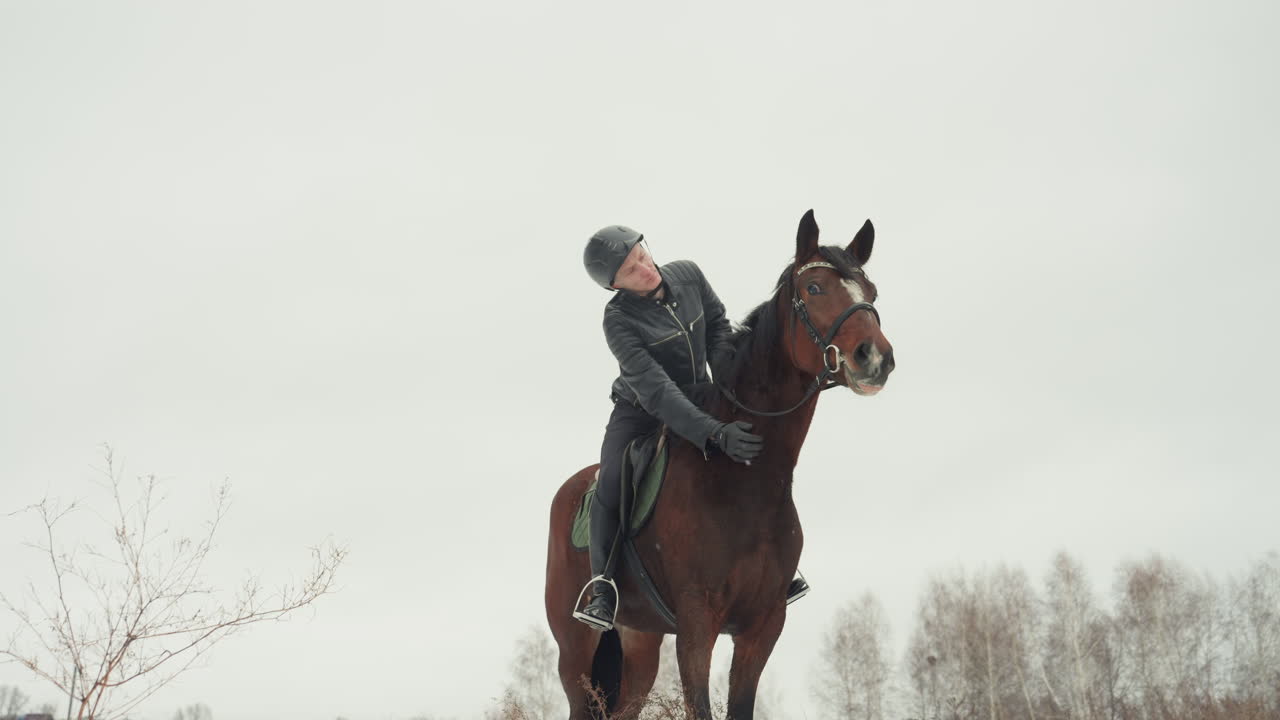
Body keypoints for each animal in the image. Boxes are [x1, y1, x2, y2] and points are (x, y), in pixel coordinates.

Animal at [544, 209, 895, 719]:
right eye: (814, 289)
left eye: (870, 291)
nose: (876, 359)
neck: (745, 482)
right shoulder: (697, 626)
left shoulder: (762, 627)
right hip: (576, 650)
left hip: (640, 645)